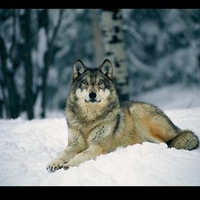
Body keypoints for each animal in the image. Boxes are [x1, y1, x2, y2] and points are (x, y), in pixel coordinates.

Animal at [46, 58, 198, 172]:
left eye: (100, 83)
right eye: (85, 83)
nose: (92, 94)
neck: (89, 118)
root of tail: (176, 128)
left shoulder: (97, 146)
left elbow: (80, 156)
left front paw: (68, 164)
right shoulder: (73, 145)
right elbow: (64, 153)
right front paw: (55, 162)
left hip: (138, 112)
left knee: (165, 143)